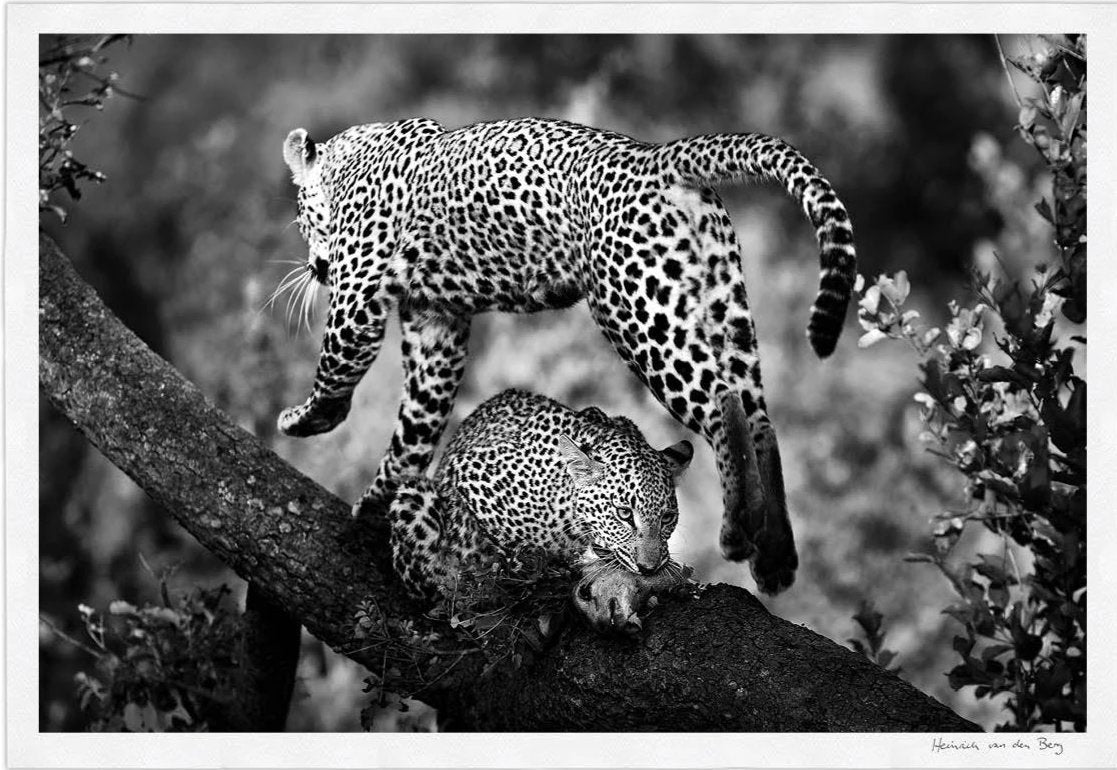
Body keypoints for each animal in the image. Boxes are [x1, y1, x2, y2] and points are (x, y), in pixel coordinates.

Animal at [275, 116, 856, 595]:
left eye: (302, 220)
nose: (315, 267)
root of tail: (658, 154)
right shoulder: (435, 323)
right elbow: (414, 428)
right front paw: (377, 507)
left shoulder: (357, 298)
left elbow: (336, 370)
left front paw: (304, 419)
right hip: (722, 306)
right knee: (760, 419)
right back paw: (775, 560)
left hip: (640, 314)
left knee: (722, 404)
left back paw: (736, 532)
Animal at [387, 388, 693, 632]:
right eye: (624, 513)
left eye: (667, 518)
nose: (648, 568)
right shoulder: (472, 475)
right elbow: (519, 553)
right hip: (413, 499)